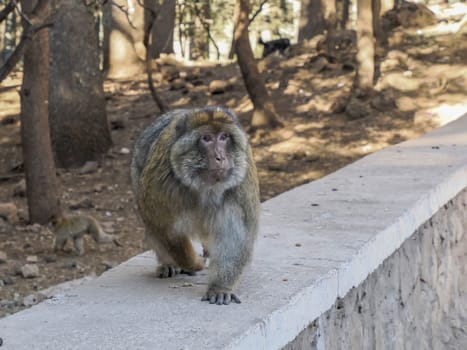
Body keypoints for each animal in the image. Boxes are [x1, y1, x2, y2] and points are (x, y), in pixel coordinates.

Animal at [132, 105, 262, 304]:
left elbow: (235, 235)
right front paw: (192, 263)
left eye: (224, 137)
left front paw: (219, 288)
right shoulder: (160, 185)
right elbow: (163, 227)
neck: (205, 188)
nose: (220, 157)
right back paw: (169, 264)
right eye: (206, 138)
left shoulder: (241, 185)